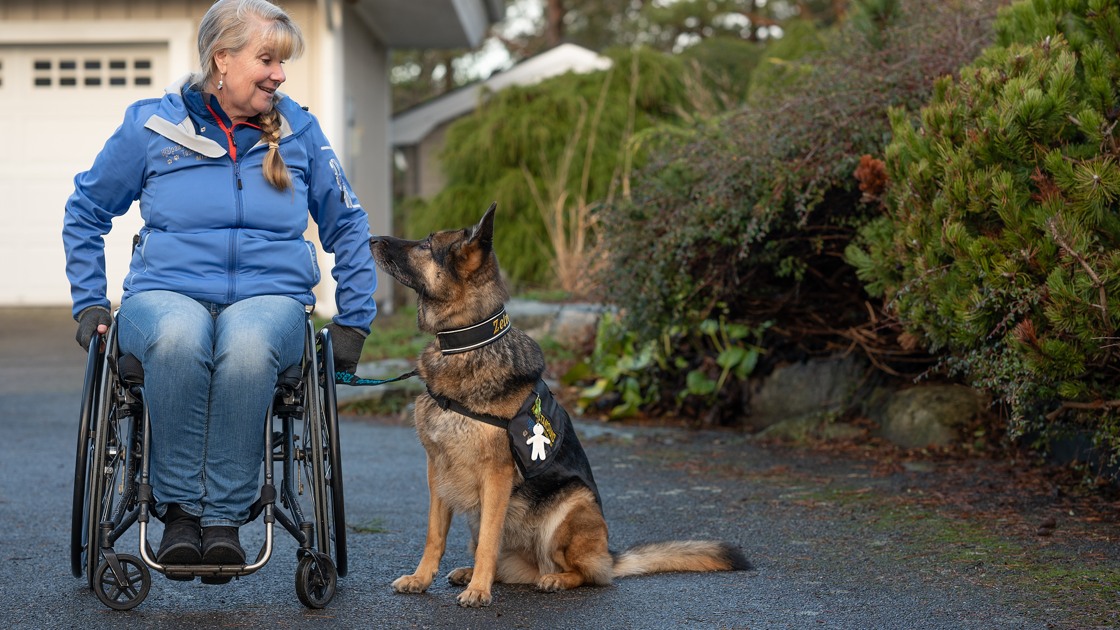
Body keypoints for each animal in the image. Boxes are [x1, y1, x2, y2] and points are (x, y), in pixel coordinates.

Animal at [371, 204, 748, 605]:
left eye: (427, 244)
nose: (372, 238)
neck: (466, 344)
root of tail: (609, 555)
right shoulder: (437, 470)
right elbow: (434, 535)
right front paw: (421, 579)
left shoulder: (496, 476)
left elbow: (489, 539)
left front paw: (479, 592)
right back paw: (476, 573)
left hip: (572, 506)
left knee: (589, 574)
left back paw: (550, 579)